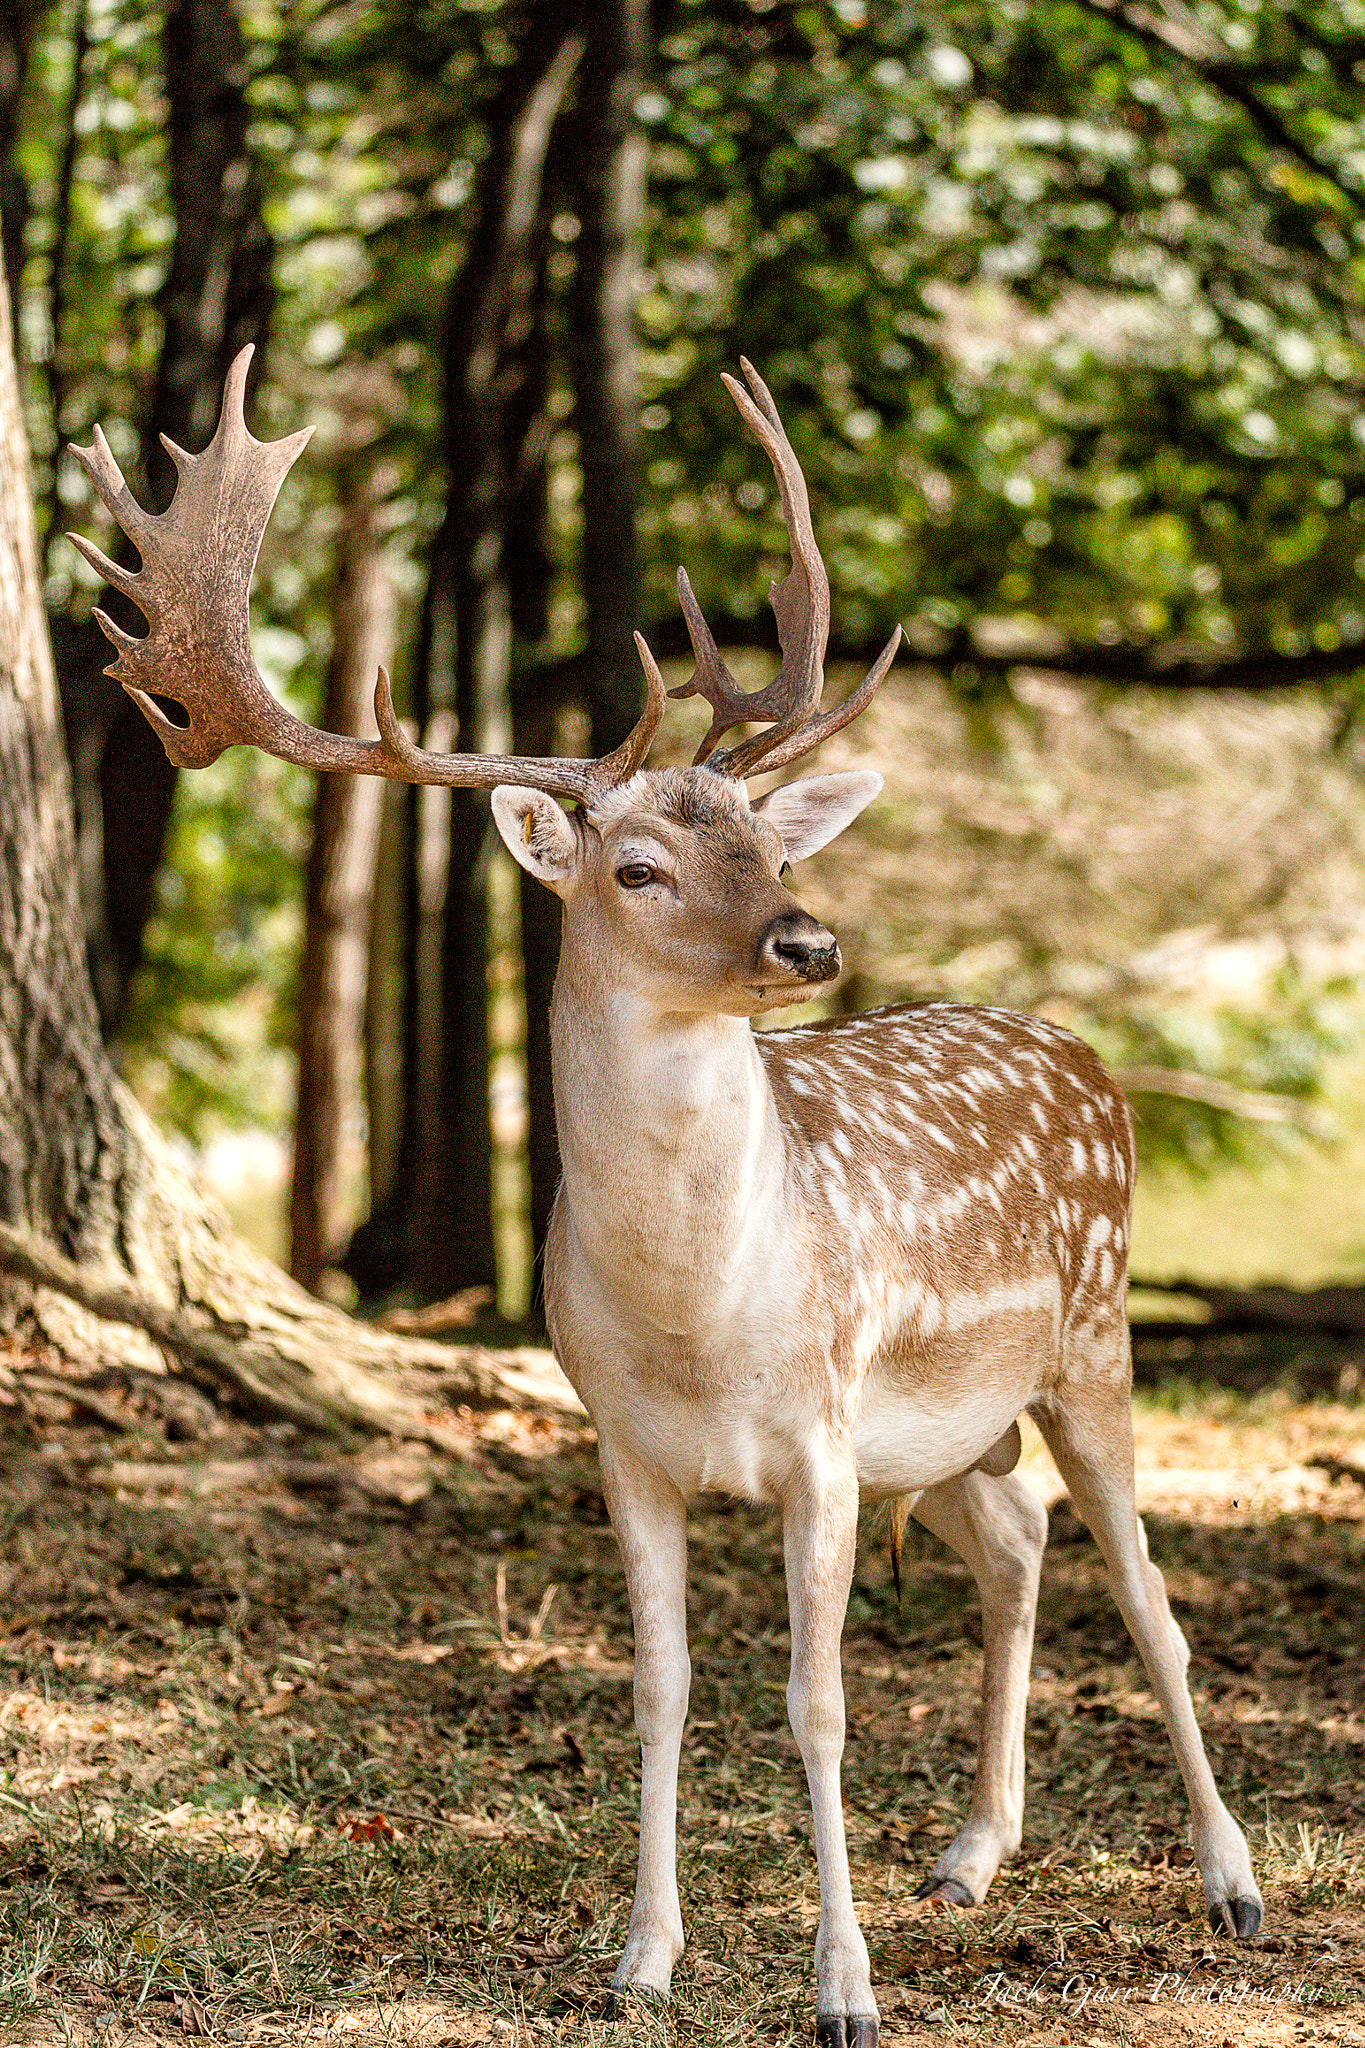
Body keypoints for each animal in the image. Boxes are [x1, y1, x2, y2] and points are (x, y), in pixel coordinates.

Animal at [72, 351, 1263, 2047]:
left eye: (765, 837)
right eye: (633, 866)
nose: (807, 941)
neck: (697, 1319)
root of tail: (1086, 1056)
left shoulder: (821, 1434)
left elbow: (818, 1703)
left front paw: (843, 1992)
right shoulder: (621, 1443)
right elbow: (660, 1686)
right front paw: (641, 1959)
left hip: (1092, 1339)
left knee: (1151, 1593)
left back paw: (1228, 1883)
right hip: (954, 1423)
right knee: (1019, 1537)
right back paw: (971, 1856)